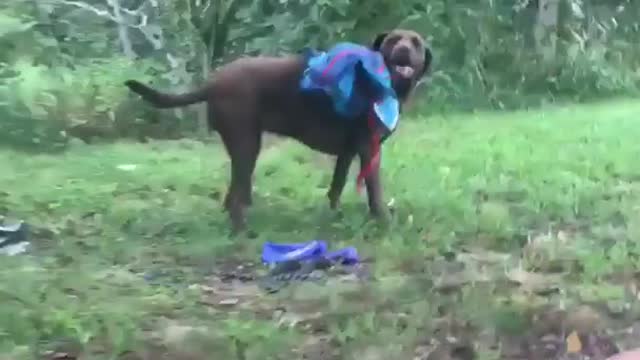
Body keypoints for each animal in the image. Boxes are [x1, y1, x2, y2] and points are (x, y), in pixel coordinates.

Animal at [125, 29, 432, 232]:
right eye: (393, 40)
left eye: (415, 43)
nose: (404, 50)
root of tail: (212, 82)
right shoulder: (369, 149)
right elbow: (374, 191)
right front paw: (383, 221)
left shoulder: (347, 152)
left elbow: (336, 186)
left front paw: (334, 216)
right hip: (247, 144)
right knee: (236, 195)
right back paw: (242, 231)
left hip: (243, 146)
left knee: (234, 191)